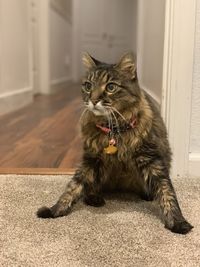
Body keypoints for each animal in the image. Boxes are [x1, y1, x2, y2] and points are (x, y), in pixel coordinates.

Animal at [36, 53, 193, 236]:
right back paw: (95, 198)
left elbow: (166, 191)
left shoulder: (151, 158)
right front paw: (55, 210)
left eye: (110, 87)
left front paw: (177, 221)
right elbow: (73, 187)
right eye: (88, 86)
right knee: (91, 188)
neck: (115, 130)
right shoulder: (91, 160)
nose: (93, 100)